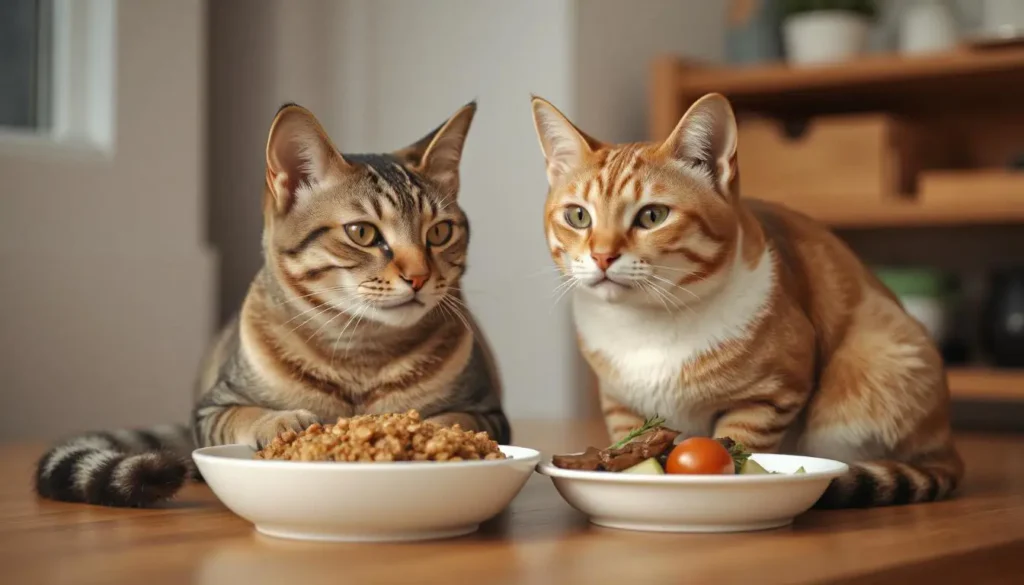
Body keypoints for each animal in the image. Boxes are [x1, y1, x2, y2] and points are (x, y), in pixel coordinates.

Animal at [36, 101, 507, 508]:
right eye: (362, 233)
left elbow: (455, 419)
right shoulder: (213, 407)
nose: (419, 277)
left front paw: (428, 430)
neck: (361, 352)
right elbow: (245, 414)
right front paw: (281, 422)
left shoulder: (489, 411)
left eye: (440, 232)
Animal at [532, 92, 962, 508]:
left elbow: (741, 443)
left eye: (652, 216)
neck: (647, 326)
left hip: (881, 361)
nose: (602, 256)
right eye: (578, 217)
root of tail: (947, 444)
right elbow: (632, 439)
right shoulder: (621, 403)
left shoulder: (771, 394)